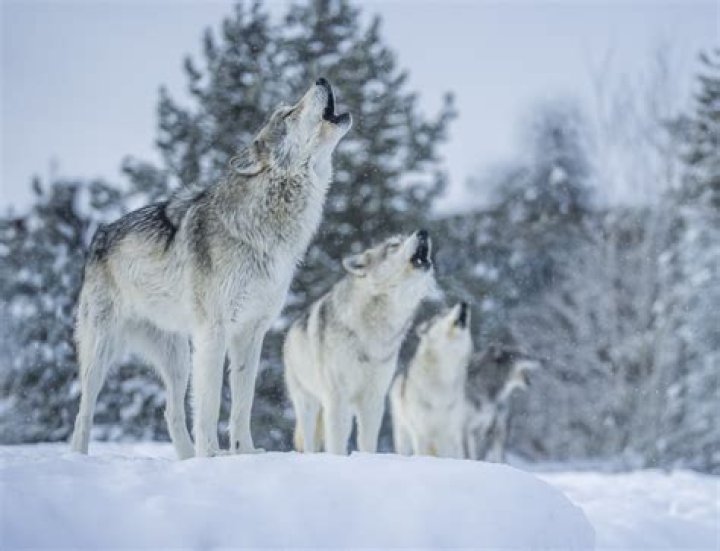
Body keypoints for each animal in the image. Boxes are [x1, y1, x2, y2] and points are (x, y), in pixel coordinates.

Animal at [70, 79, 351, 458]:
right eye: (289, 113)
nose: (321, 79)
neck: (262, 229)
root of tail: (99, 234)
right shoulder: (212, 333)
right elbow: (210, 405)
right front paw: (211, 456)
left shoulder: (251, 332)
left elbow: (242, 404)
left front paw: (244, 453)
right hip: (103, 350)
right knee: (84, 411)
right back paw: (79, 456)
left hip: (177, 359)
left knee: (171, 411)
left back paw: (186, 460)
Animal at [283, 231, 435, 455]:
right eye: (394, 245)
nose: (423, 232)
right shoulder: (338, 398)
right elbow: (337, 442)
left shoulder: (373, 398)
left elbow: (367, 442)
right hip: (307, 403)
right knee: (310, 442)